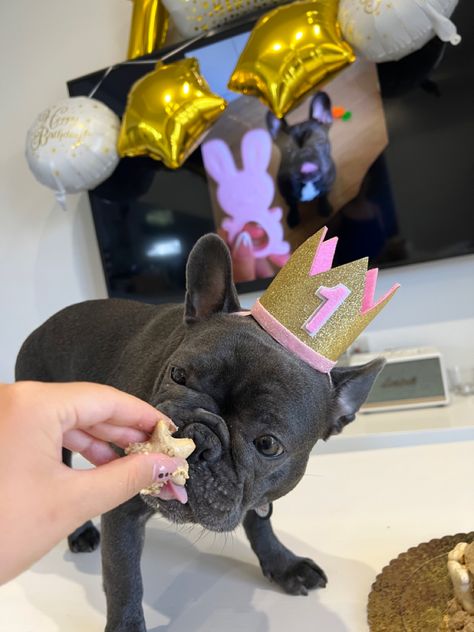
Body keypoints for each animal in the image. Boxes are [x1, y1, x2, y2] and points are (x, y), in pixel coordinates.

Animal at [15, 233, 386, 632]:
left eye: (268, 444)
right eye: (177, 375)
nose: (198, 437)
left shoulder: (256, 498)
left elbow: (260, 525)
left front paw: (283, 564)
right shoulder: (122, 512)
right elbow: (124, 580)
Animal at [266, 89, 336, 227]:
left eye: (319, 141)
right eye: (287, 150)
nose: (304, 153)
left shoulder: (327, 185)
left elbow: (323, 196)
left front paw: (324, 208)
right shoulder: (288, 193)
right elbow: (292, 205)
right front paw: (293, 218)